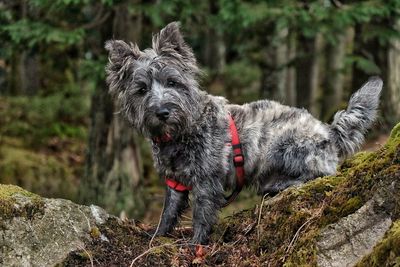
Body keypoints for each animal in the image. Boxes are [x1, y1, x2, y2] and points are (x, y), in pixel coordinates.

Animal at [104, 22, 382, 246]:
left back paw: (280, 184)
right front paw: (156, 237)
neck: (182, 131)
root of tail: (329, 131)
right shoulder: (175, 182)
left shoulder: (206, 181)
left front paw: (195, 244)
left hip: (290, 148)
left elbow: (201, 214)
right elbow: (168, 213)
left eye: (172, 82)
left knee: (320, 173)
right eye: (141, 90)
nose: (162, 112)